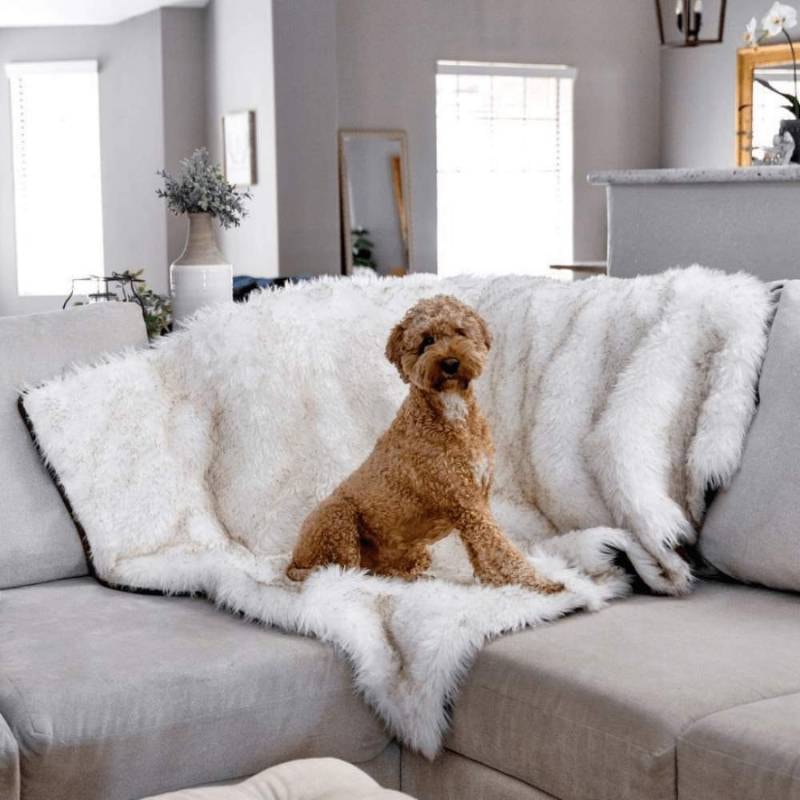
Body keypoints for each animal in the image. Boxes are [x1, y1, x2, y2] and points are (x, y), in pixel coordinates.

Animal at [288, 296, 564, 592]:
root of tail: (293, 560)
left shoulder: (476, 502)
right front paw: (538, 583)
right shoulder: (466, 501)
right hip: (337, 518)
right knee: (347, 571)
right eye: (426, 341)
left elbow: (481, 550)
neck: (450, 410)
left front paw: (492, 583)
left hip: (416, 552)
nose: (451, 363)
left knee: (380, 570)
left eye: (460, 332)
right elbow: (500, 547)